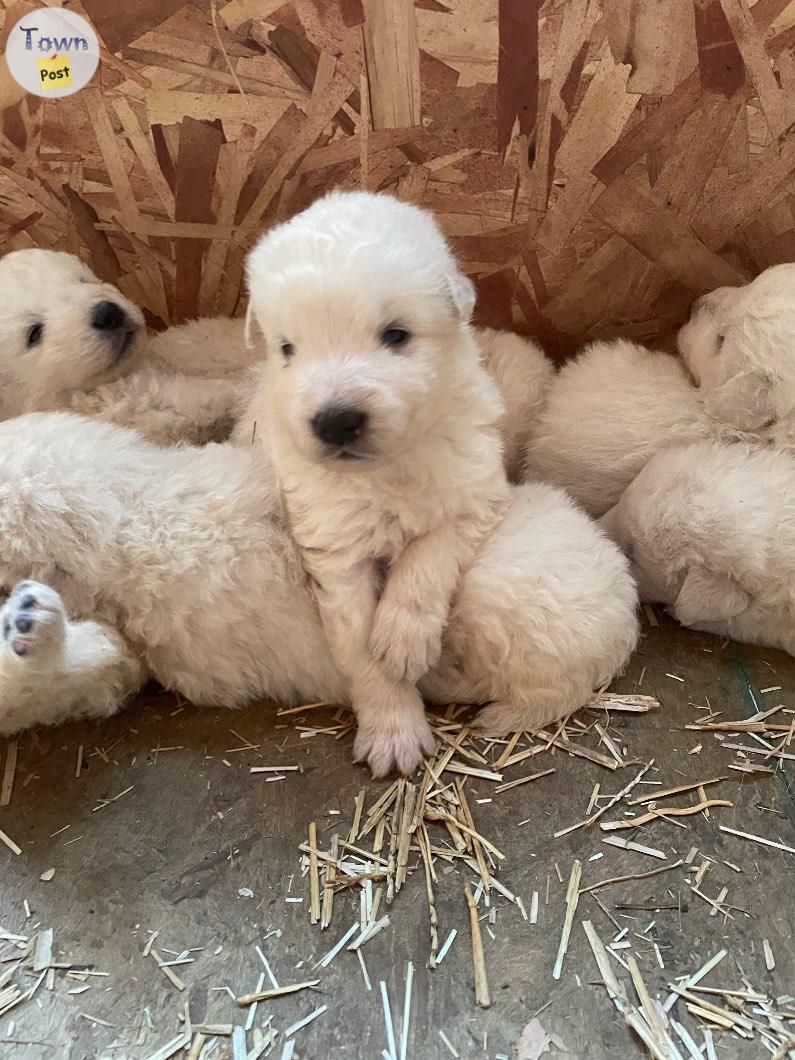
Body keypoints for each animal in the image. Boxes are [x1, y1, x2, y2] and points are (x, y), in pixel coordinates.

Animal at [245, 188, 513, 771]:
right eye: (287, 349)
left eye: (396, 335)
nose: (335, 421)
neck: (385, 469)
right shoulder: (337, 548)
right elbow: (358, 649)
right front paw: (394, 733)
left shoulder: (475, 489)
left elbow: (429, 552)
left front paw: (402, 641)